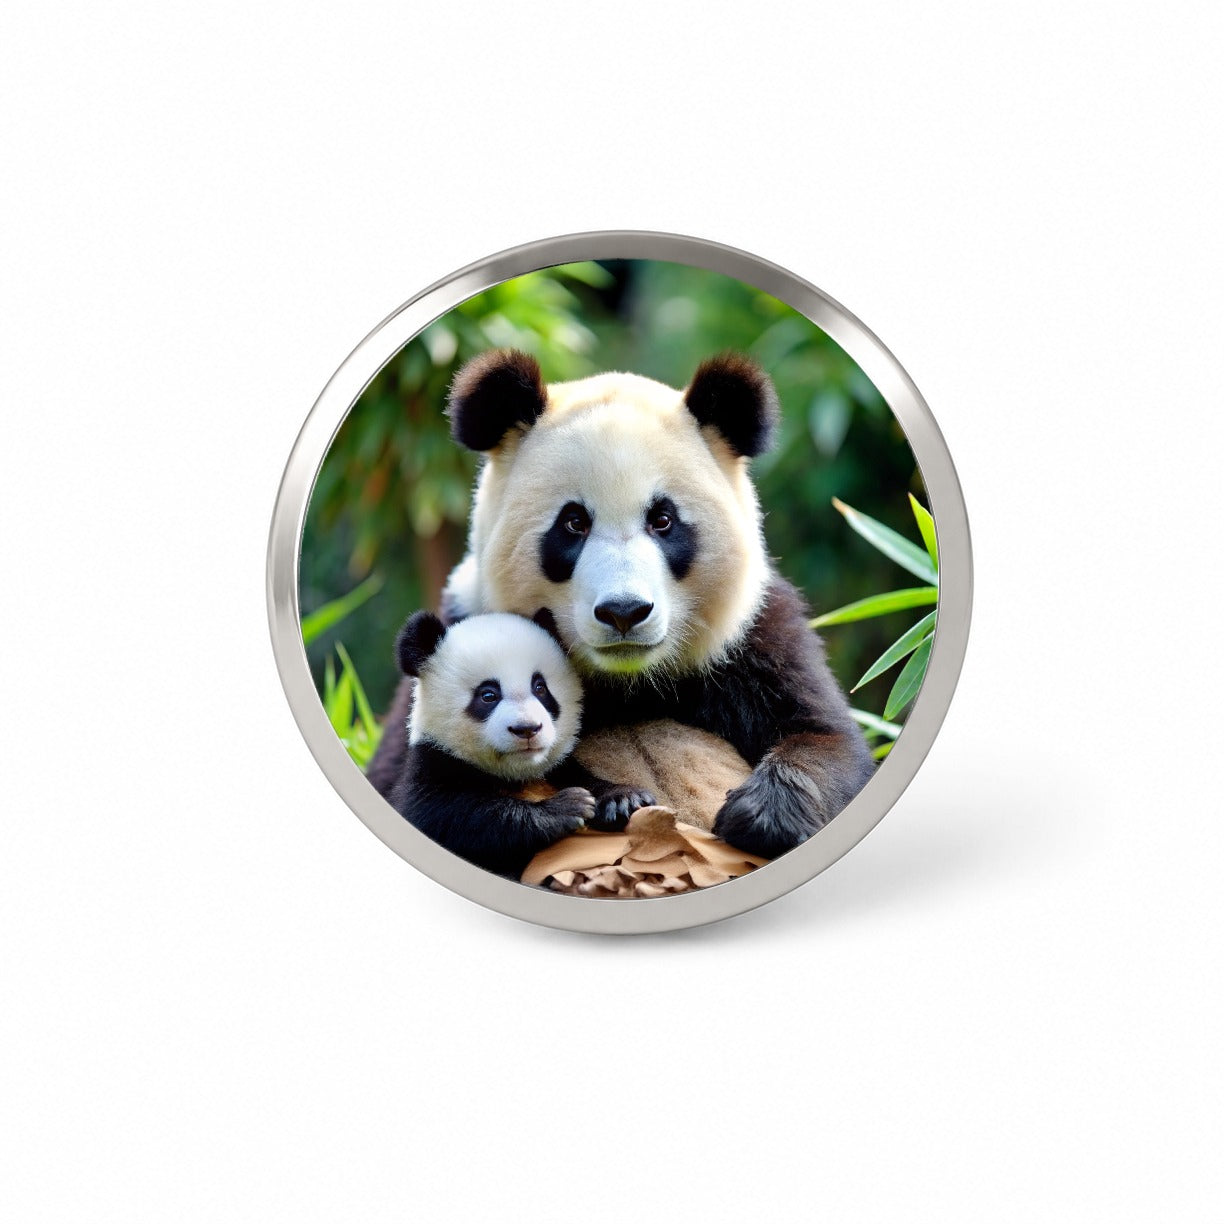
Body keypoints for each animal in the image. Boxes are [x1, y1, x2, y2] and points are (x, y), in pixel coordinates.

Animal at [390, 608, 655, 878]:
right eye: (488, 695)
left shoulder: (557, 770)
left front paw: (622, 800)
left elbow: (583, 777)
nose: (527, 728)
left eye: (540, 687)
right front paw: (565, 808)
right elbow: (455, 816)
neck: (518, 775)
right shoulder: (434, 767)